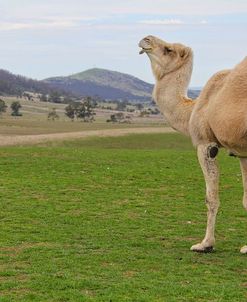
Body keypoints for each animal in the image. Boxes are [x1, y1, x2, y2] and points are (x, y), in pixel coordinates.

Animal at [138, 34, 247, 252]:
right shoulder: (242, 153)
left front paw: (205, 244)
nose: (146, 39)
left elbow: (211, 197)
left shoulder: (206, 144)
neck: (193, 108)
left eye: (168, 49)